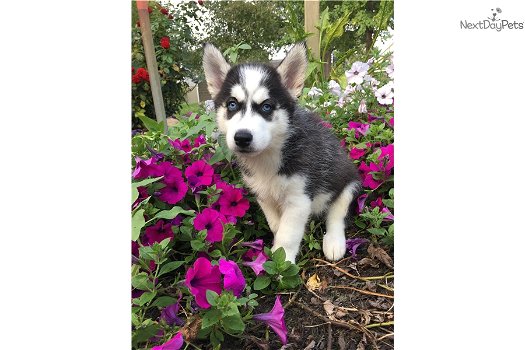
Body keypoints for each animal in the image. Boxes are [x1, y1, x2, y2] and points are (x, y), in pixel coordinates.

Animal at [204, 43, 360, 262]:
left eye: (267, 107)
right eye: (232, 104)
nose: (242, 137)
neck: (268, 157)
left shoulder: (299, 199)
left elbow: (288, 234)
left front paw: (283, 261)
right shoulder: (262, 194)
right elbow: (276, 224)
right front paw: (276, 243)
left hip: (348, 183)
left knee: (337, 214)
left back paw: (334, 241)